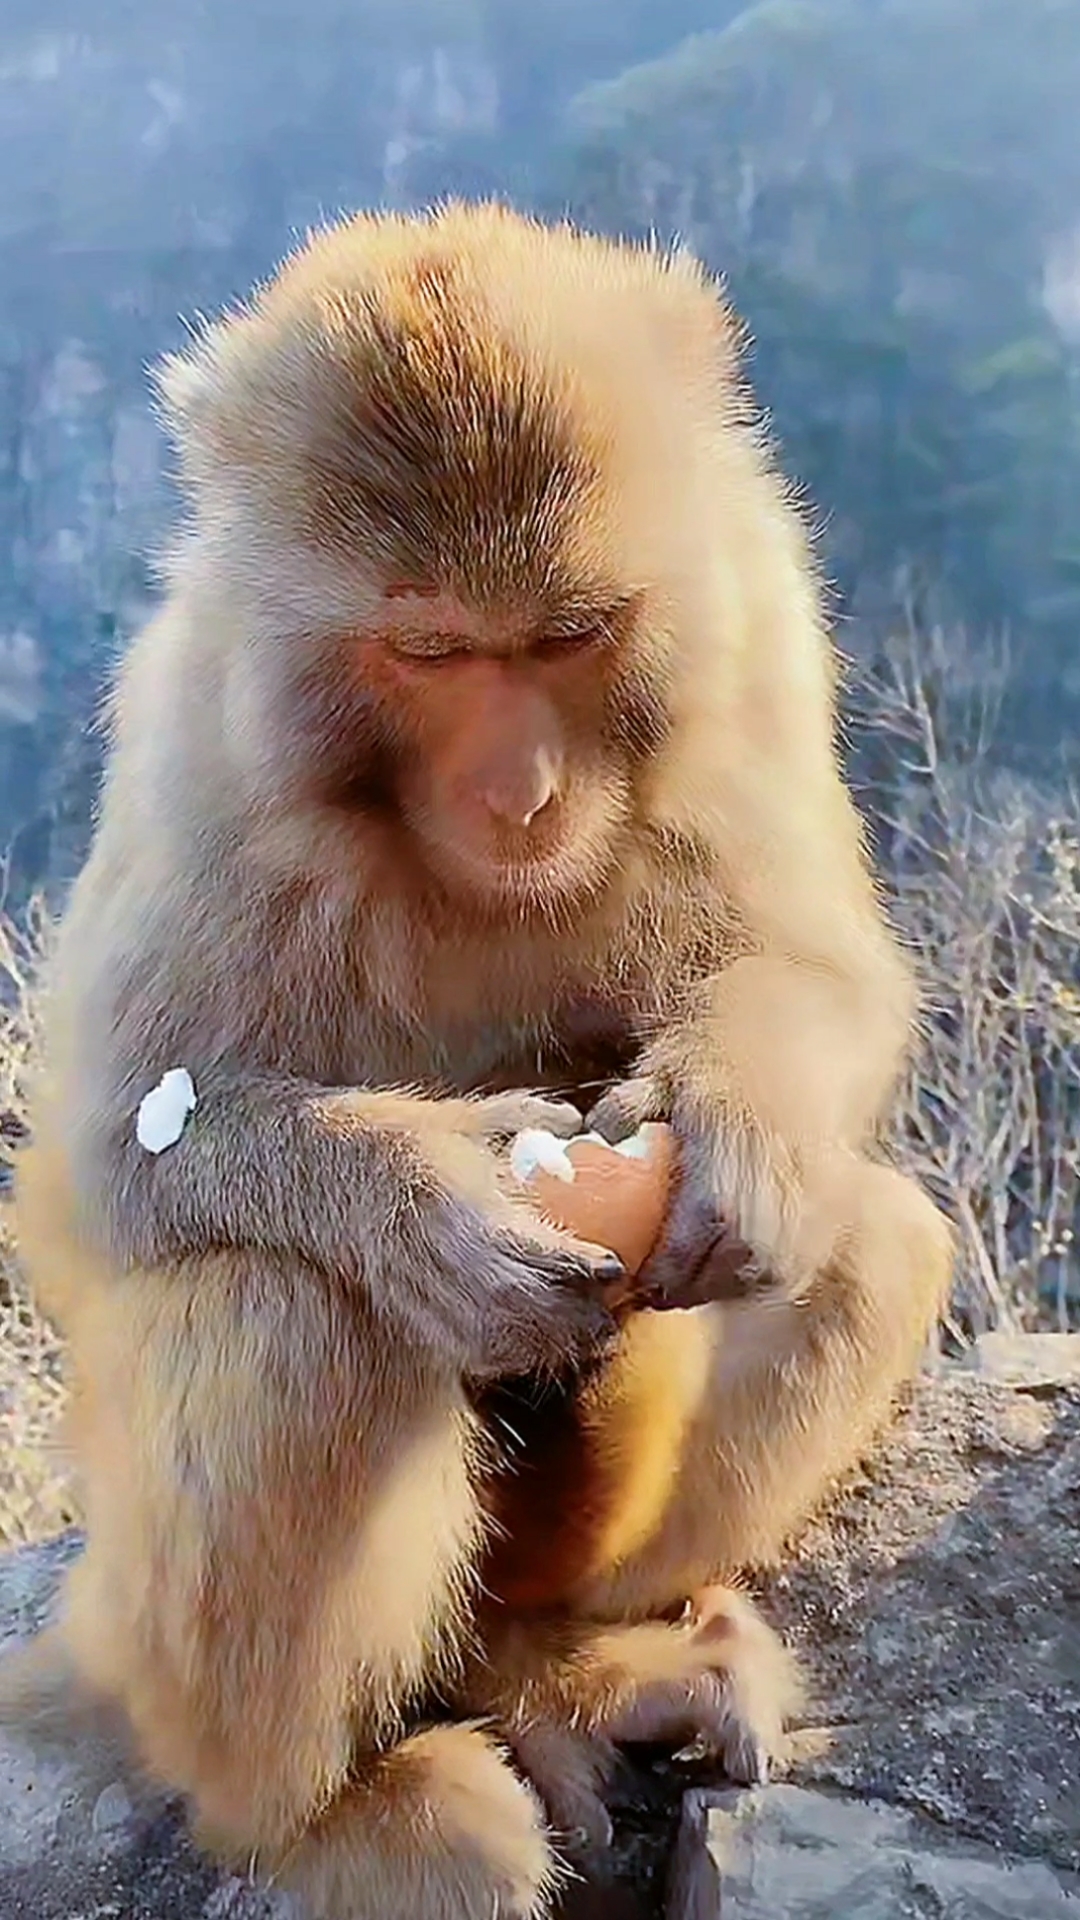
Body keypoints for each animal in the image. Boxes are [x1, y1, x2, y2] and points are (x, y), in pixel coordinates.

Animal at [10, 202, 949, 1912]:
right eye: (435, 650)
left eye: (569, 637)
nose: (521, 794)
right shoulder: (200, 736)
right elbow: (105, 1160)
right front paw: (423, 1205)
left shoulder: (758, 616)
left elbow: (823, 975)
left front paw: (746, 1124)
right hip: (127, 1637)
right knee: (282, 1326)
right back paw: (328, 1813)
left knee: (865, 1243)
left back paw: (564, 1665)